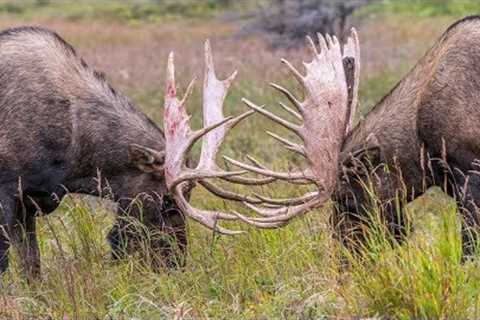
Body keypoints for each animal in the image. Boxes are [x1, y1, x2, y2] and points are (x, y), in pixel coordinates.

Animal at [0, 16, 480, 278]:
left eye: (346, 196)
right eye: (166, 204)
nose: (346, 263)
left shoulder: (468, 172)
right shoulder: (17, 196)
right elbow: (25, 266)